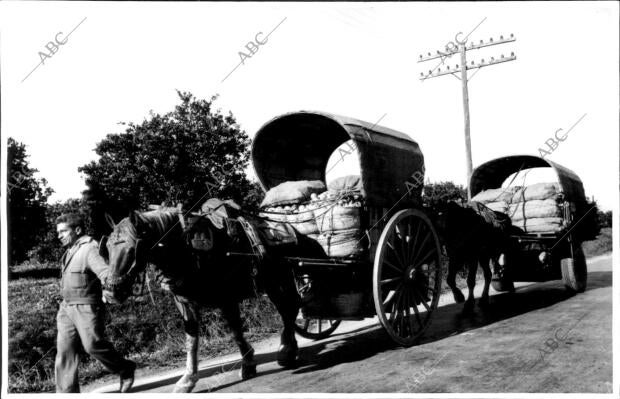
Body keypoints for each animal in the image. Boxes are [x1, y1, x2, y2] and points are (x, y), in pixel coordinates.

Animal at [98, 203, 302, 394]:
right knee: (290, 308)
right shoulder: (184, 301)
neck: (188, 250)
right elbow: (192, 341)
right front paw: (188, 379)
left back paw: (287, 350)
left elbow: (236, 331)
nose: (110, 293)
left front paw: (247, 363)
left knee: (288, 310)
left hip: (277, 280)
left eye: (133, 249)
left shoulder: (226, 297)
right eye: (107, 248)